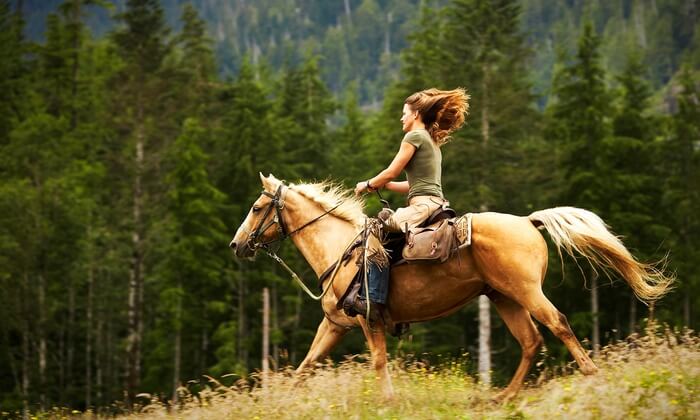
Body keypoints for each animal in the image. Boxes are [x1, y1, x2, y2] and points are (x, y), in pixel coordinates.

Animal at [230, 173, 672, 400]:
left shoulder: (369, 321)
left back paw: (591, 375)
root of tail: (527, 221)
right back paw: (501, 397)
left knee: (558, 324)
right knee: (531, 342)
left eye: (256, 207)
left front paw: (388, 402)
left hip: (528, 292)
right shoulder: (335, 324)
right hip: (505, 298)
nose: (236, 245)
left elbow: (378, 362)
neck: (341, 249)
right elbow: (306, 365)